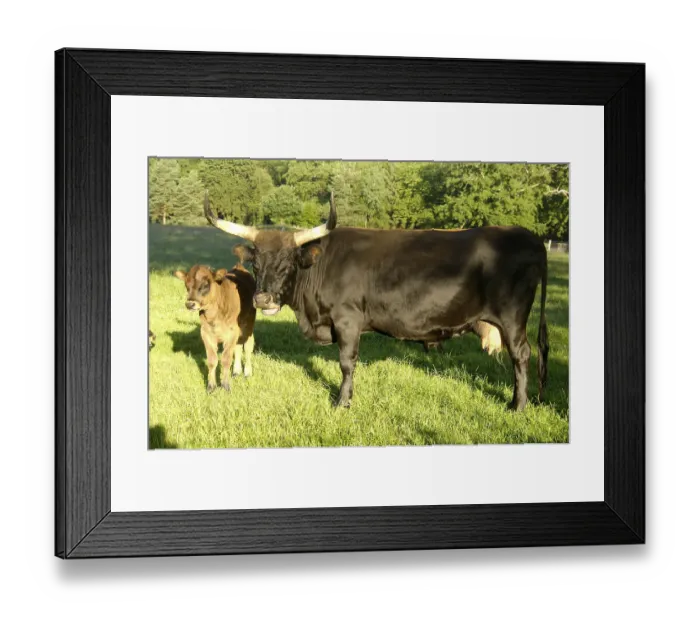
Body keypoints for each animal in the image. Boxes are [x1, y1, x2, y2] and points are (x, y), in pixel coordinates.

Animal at [174, 263, 256, 393]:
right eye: (187, 286)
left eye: (205, 285)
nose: (190, 304)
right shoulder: (206, 333)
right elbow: (212, 361)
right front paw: (211, 386)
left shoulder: (232, 332)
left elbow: (226, 359)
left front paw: (225, 385)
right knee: (238, 346)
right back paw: (236, 371)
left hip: (248, 324)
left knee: (248, 346)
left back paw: (247, 372)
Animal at [204, 193, 548, 411]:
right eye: (256, 264)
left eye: (288, 264)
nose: (263, 298)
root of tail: (530, 237)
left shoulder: (347, 320)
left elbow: (346, 363)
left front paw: (342, 402)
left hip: (512, 318)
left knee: (521, 356)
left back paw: (517, 405)